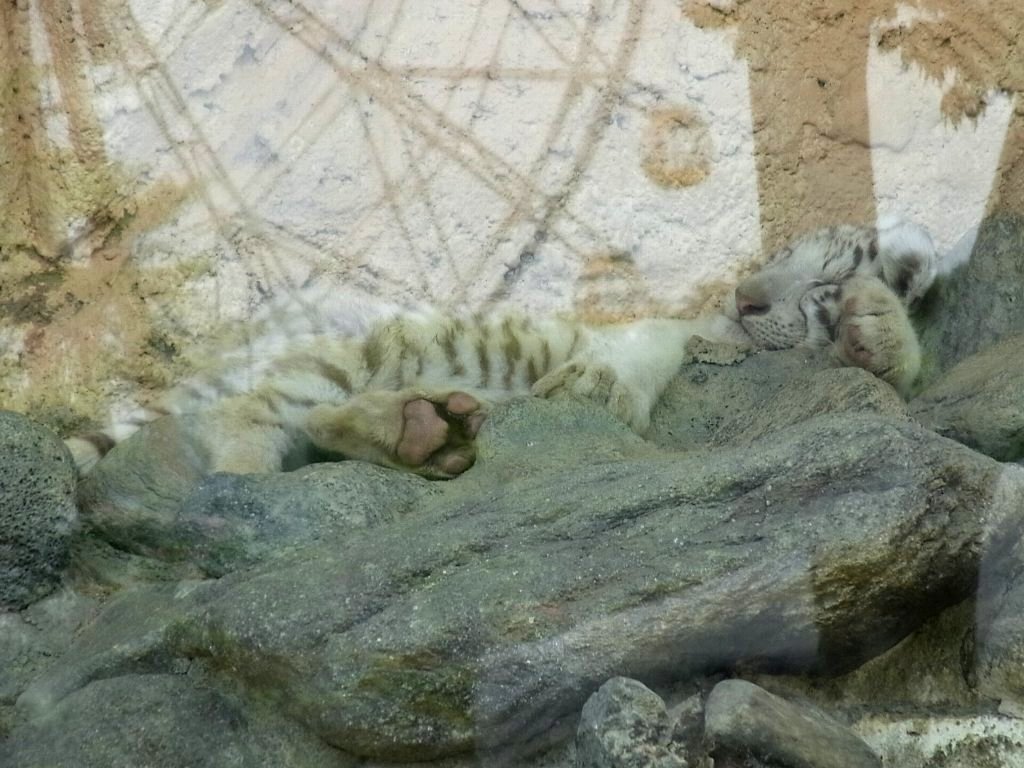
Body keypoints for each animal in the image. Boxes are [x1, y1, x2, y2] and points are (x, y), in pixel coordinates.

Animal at [68, 218, 937, 481]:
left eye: (820, 279)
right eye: (775, 256)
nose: (745, 294)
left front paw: (875, 325)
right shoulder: (650, 324)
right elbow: (642, 349)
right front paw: (597, 387)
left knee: (316, 424)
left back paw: (422, 430)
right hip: (352, 349)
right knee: (252, 413)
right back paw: (248, 475)